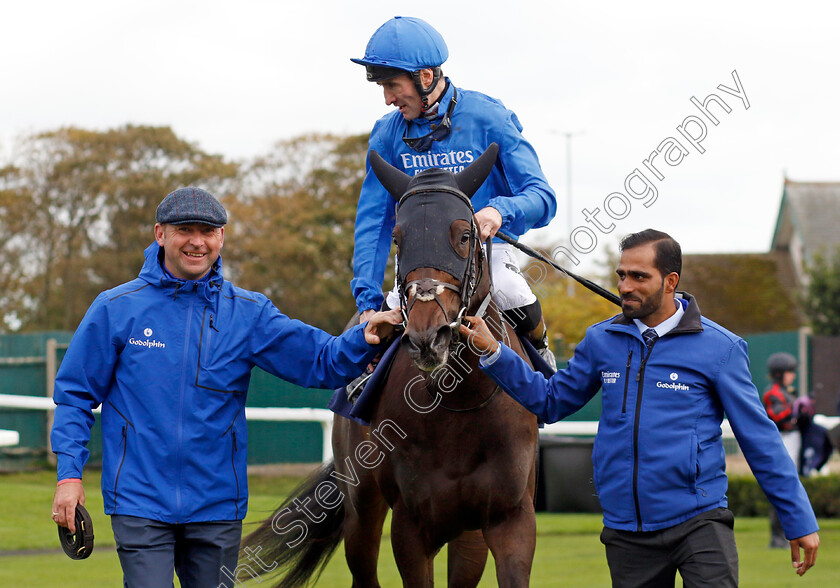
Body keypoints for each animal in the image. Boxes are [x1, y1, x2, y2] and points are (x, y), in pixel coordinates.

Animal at [244, 144, 540, 588]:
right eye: (398, 238)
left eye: (465, 235)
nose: (427, 337)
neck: (459, 404)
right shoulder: (411, 525)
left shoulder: (510, 517)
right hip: (361, 509)